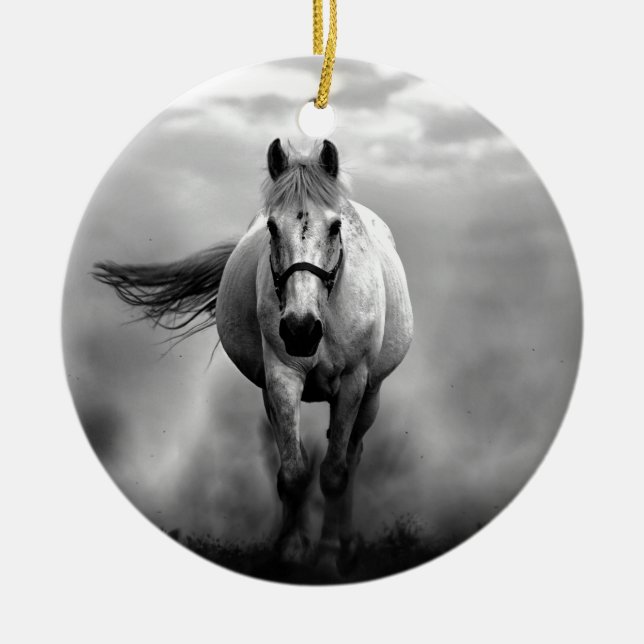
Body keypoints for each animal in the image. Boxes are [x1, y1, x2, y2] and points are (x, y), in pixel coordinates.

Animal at [93, 139, 414, 574]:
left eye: (335, 226)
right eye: (272, 228)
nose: (300, 329)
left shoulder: (353, 383)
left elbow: (334, 473)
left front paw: (328, 557)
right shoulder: (280, 378)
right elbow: (293, 472)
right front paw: (291, 552)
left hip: (371, 395)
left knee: (352, 455)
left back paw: (347, 545)